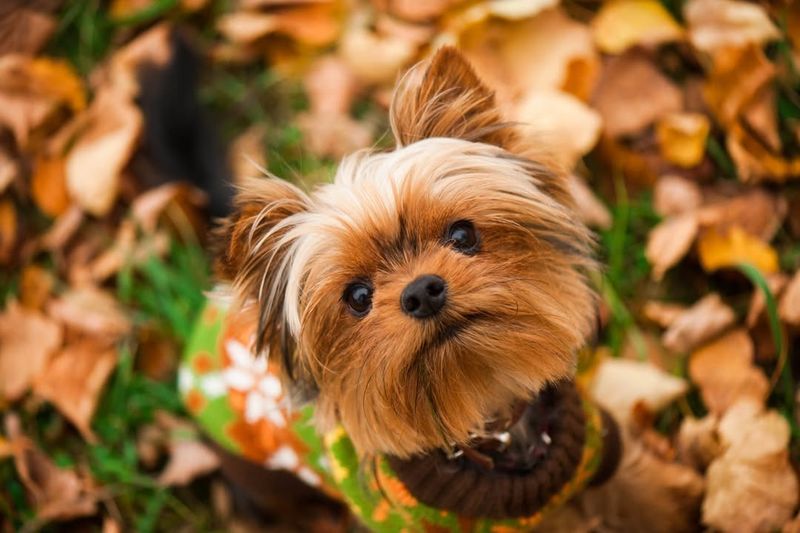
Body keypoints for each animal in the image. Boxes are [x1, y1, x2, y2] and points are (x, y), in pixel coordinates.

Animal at [180, 46, 700, 532]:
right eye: (357, 297)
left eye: (463, 235)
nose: (423, 291)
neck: (490, 419)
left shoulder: (600, 458)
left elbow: (646, 501)